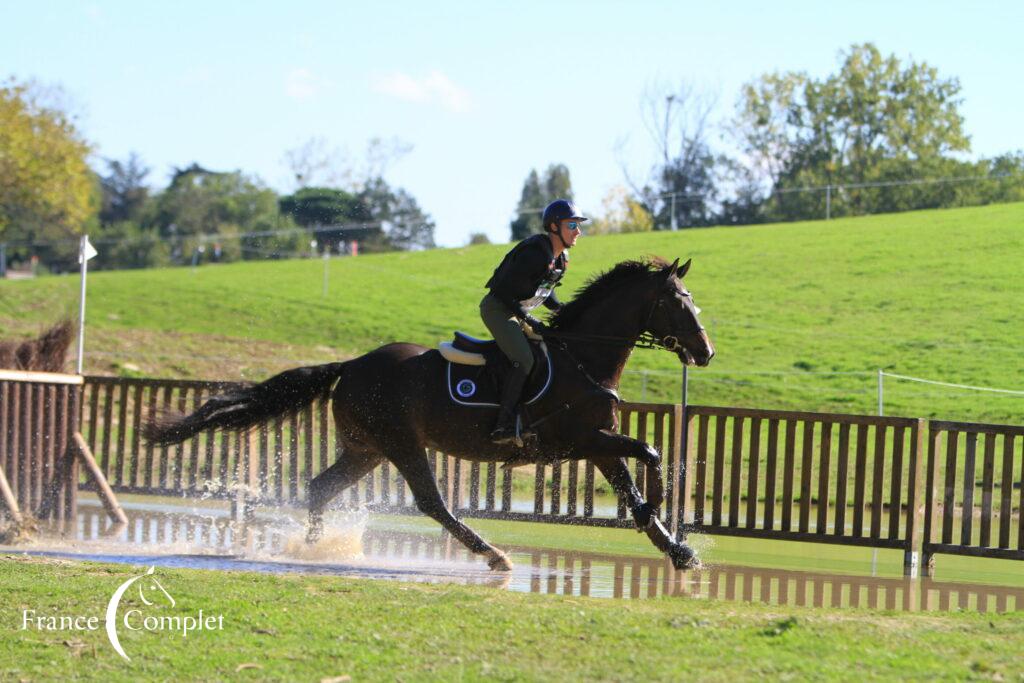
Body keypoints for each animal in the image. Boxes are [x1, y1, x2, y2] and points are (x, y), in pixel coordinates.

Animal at [146, 255, 712, 573]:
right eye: (678, 302)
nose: (705, 352)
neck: (582, 356)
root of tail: (352, 365)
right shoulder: (579, 440)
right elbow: (650, 452)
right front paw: (662, 510)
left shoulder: (597, 441)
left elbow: (632, 481)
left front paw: (677, 551)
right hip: (401, 443)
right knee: (432, 503)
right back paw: (492, 554)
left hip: (367, 449)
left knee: (321, 487)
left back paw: (312, 550)